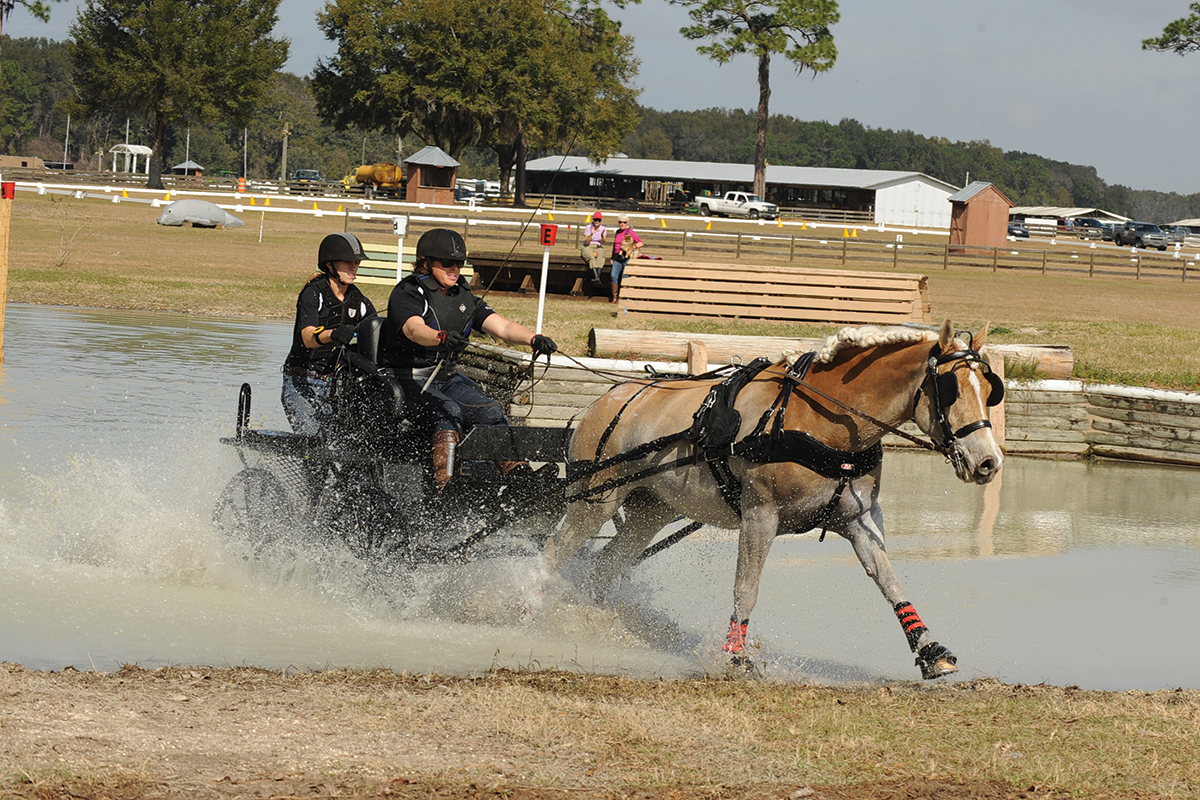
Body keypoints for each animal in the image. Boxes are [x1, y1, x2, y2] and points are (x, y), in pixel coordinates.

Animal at [542, 319, 1003, 681]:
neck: (820, 420)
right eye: (951, 389)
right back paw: (533, 605)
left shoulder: (860, 520)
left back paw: (594, 619)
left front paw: (929, 649)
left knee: (606, 564)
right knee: (554, 550)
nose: (988, 462)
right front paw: (735, 657)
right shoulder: (760, 515)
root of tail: (604, 400)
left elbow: (890, 582)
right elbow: (746, 587)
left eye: (988, 390)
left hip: (649, 511)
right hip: (595, 499)